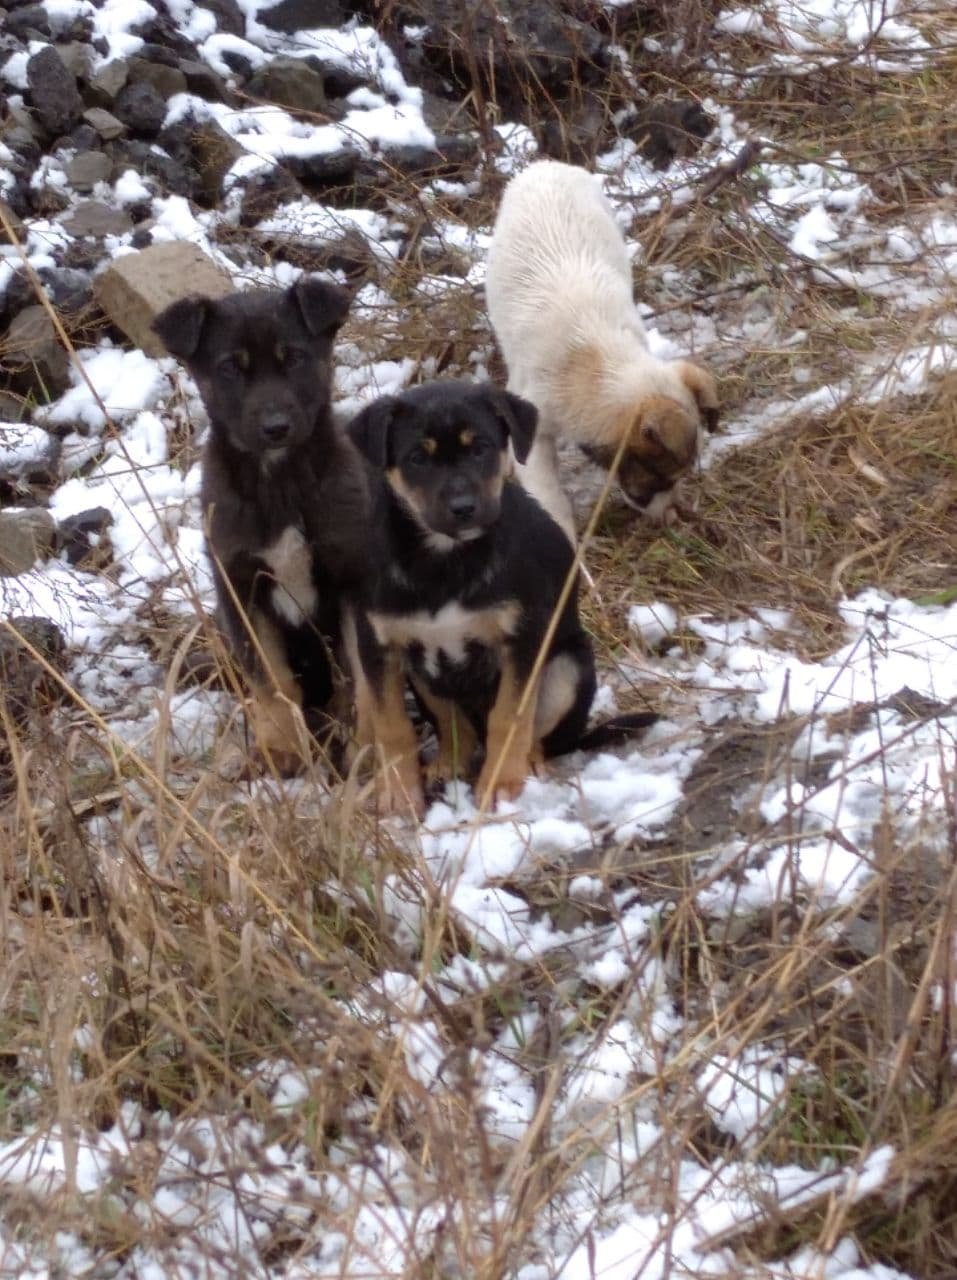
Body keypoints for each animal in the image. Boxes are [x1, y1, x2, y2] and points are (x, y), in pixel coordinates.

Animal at [155, 279, 368, 768]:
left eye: (294, 358)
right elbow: (272, 681)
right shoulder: (241, 590)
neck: (278, 481)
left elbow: (358, 679)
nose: (276, 427)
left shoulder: (350, 580)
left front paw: (365, 746)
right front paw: (283, 746)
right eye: (231, 368)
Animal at [486, 157, 716, 532]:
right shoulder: (534, 434)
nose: (668, 519)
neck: (594, 361)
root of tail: (546, 164)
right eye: (658, 477)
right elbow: (550, 499)